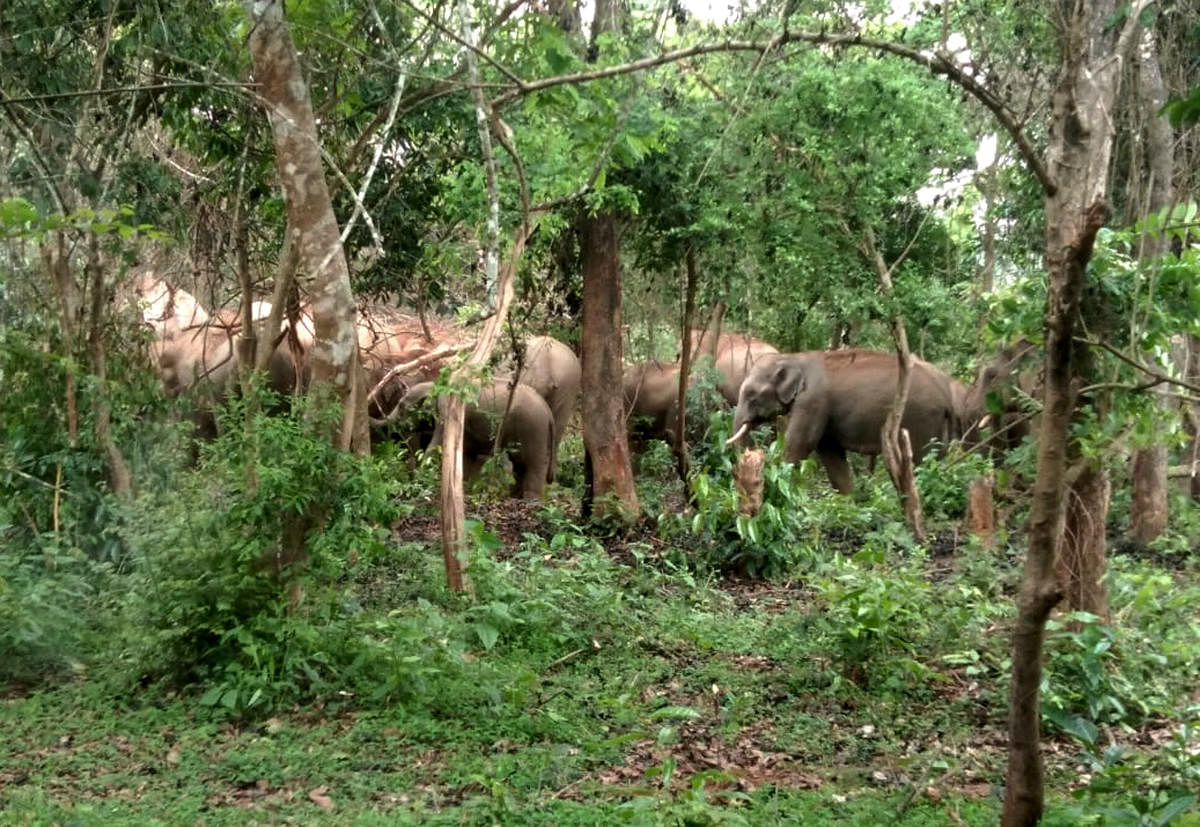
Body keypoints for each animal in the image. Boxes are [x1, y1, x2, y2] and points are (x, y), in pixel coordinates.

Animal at [398, 379, 556, 496]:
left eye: (400, 406)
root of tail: (549, 413)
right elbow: (465, 455)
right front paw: (463, 489)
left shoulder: (446, 415)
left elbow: (437, 446)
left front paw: (420, 483)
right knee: (520, 464)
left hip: (533, 428)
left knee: (534, 463)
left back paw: (530, 500)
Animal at [724, 345, 960, 489]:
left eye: (752, 395)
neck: (794, 357)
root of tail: (947, 396)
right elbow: (830, 453)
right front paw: (849, 504)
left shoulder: (813, 401)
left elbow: (800, 444)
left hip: (922, 422)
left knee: (921, 462)